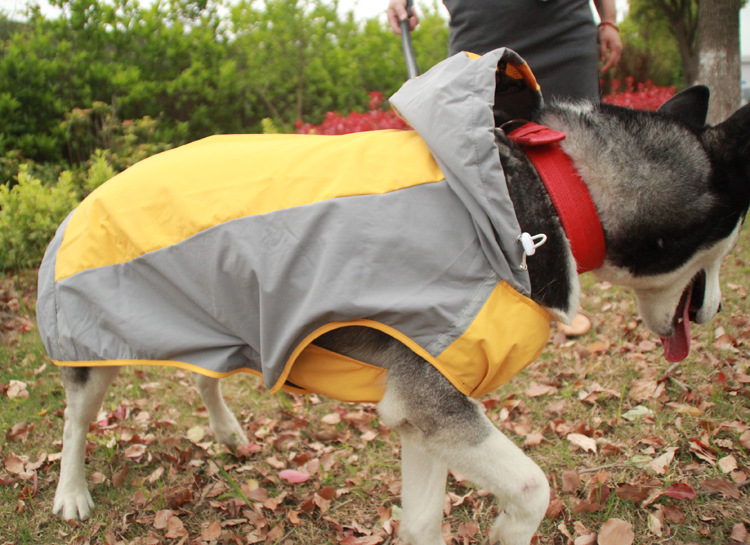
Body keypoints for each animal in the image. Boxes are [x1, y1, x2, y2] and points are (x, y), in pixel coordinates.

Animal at [39, 53, 750, 540]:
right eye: (731, 240)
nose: (714, 311)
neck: (548, 186)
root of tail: (94, 188)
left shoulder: (421, 410)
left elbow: (421, 524)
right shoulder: (438, 403)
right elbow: (531, 488)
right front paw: (509, 527)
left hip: (214, 327)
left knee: (201, 375)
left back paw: (226, 430)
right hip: (93, 349)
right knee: (76, 421)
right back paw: (71, 493)